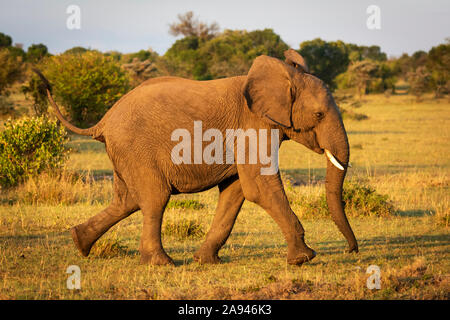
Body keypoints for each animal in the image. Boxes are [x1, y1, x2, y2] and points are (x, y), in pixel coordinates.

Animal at [34, 49, 358, 264]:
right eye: (319, 114)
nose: (351, 250)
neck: (283, 76)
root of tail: (102, 121)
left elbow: (236, 191)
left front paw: (205, 261)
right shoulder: (253, 124)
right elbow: (259, 186)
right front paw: (305, 258)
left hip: (124, 152)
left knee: (126, 201)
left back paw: (80, 243)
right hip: (135, 148)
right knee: (154, 198)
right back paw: (161, 263)